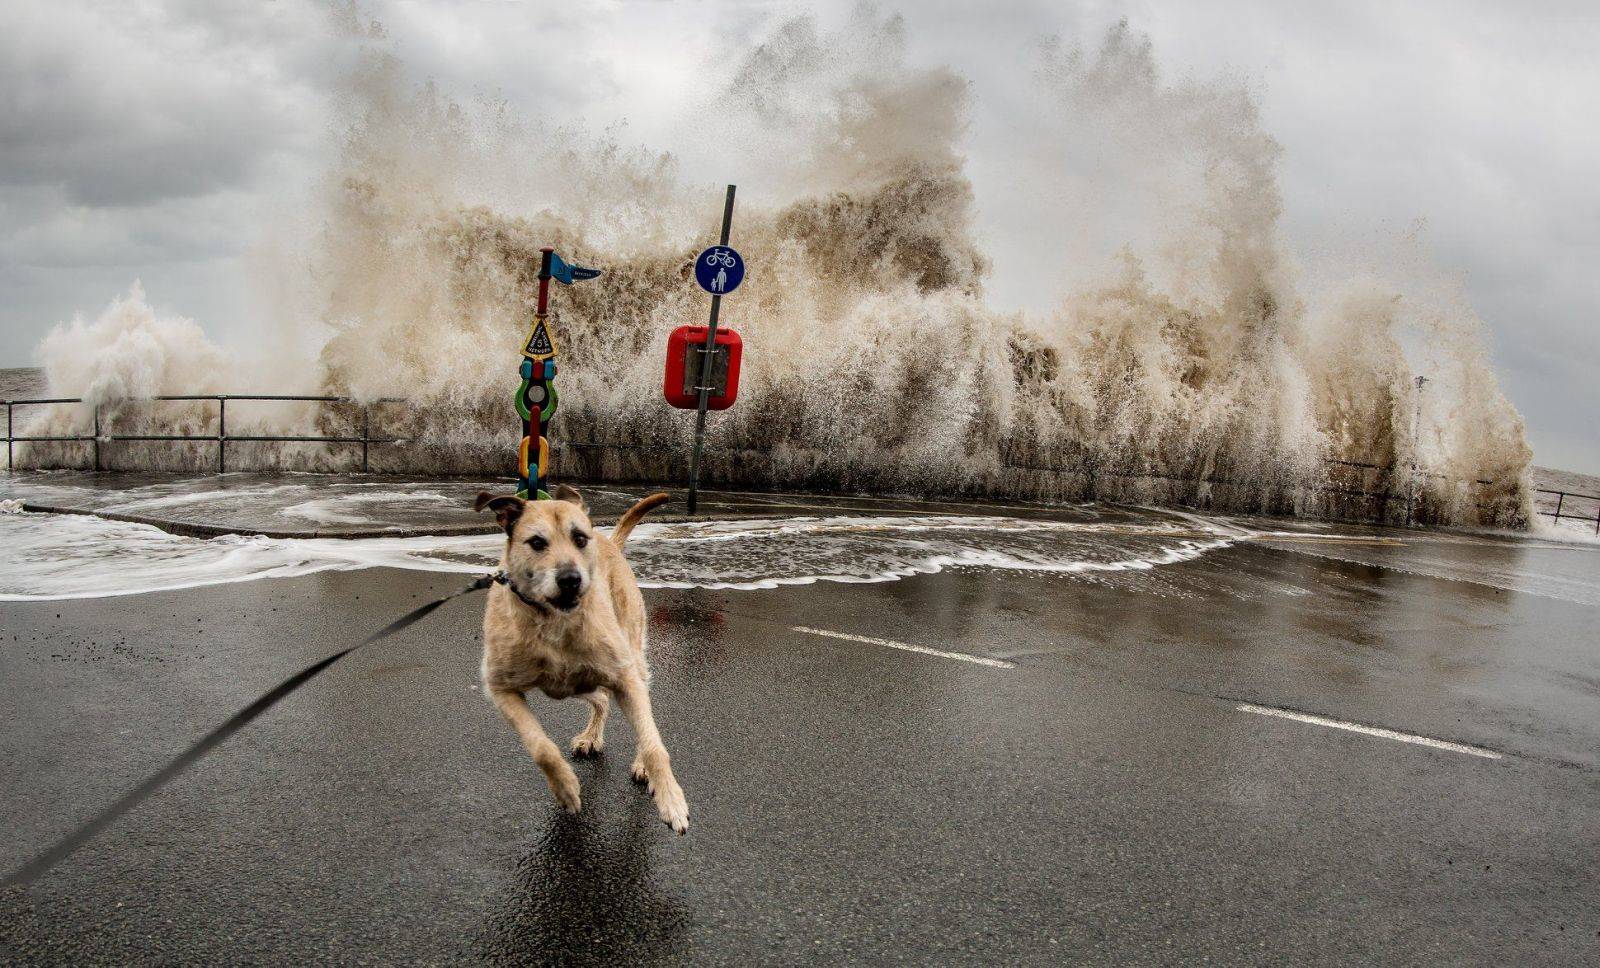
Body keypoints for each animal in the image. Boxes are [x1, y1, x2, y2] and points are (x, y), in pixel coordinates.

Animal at [467, 483, 684, 832]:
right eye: (537, 542)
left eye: (580, 538)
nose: (571, 579)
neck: (553, 620)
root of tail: (610, 542)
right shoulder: (500, 689)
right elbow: (541, 748)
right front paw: (566, 788)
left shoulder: (625, 678)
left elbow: (653, 743)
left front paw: (671, 799)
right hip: (577, 683)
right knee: (602, 700)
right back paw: (591, 737)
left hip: (631, 659)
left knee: (642, 716)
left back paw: (640, 763)